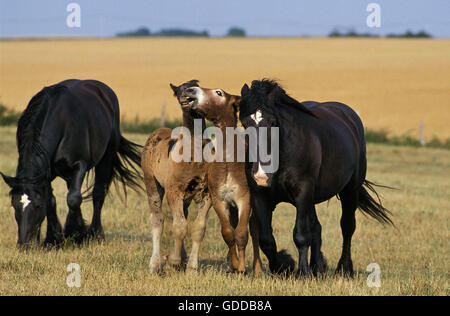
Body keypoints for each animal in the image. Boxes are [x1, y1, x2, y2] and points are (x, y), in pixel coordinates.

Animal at [0, 79, 142, 247]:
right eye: (14, 204)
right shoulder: (46, 174)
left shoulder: (80, 165)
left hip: (106, 158)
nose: (24, 245)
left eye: (37, 205)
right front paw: (53, 239)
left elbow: (73, 198)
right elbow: (52, 201)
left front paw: (75, 234)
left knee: (98, 193)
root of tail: (106, 91)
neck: (59, 123)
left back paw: (96, 233)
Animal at [141, 80, 211, 272]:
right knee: (158, 219)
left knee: (182, 216)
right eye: (178, 91)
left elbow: (198, 227)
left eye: (195, 87)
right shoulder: (174, 191)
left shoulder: (206, 194)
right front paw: (173, 261)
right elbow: (179, 226)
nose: (185, 96)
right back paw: (155, 264)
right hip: (152, 183)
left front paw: (192, 267)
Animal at [180, 84, 262, 274]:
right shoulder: (219, 200)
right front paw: (235, 265)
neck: (228, 162)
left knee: (254, 229)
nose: (190, 90)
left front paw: (242, 269)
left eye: (219, 93)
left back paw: (257, 268)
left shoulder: (244, 200)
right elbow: (228, 233)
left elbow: (242, 234)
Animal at [239, 79, 394, 276]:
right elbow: (267, 239)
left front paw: (302, 272)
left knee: (347, 227)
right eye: (244, 124)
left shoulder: (303, 192)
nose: (260, 175)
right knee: (317, 227)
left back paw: (344, 268)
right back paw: (317, 266)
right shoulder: (260, 195)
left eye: (272, 122)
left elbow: (301, 234)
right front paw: (282, 266)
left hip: (349, 191)